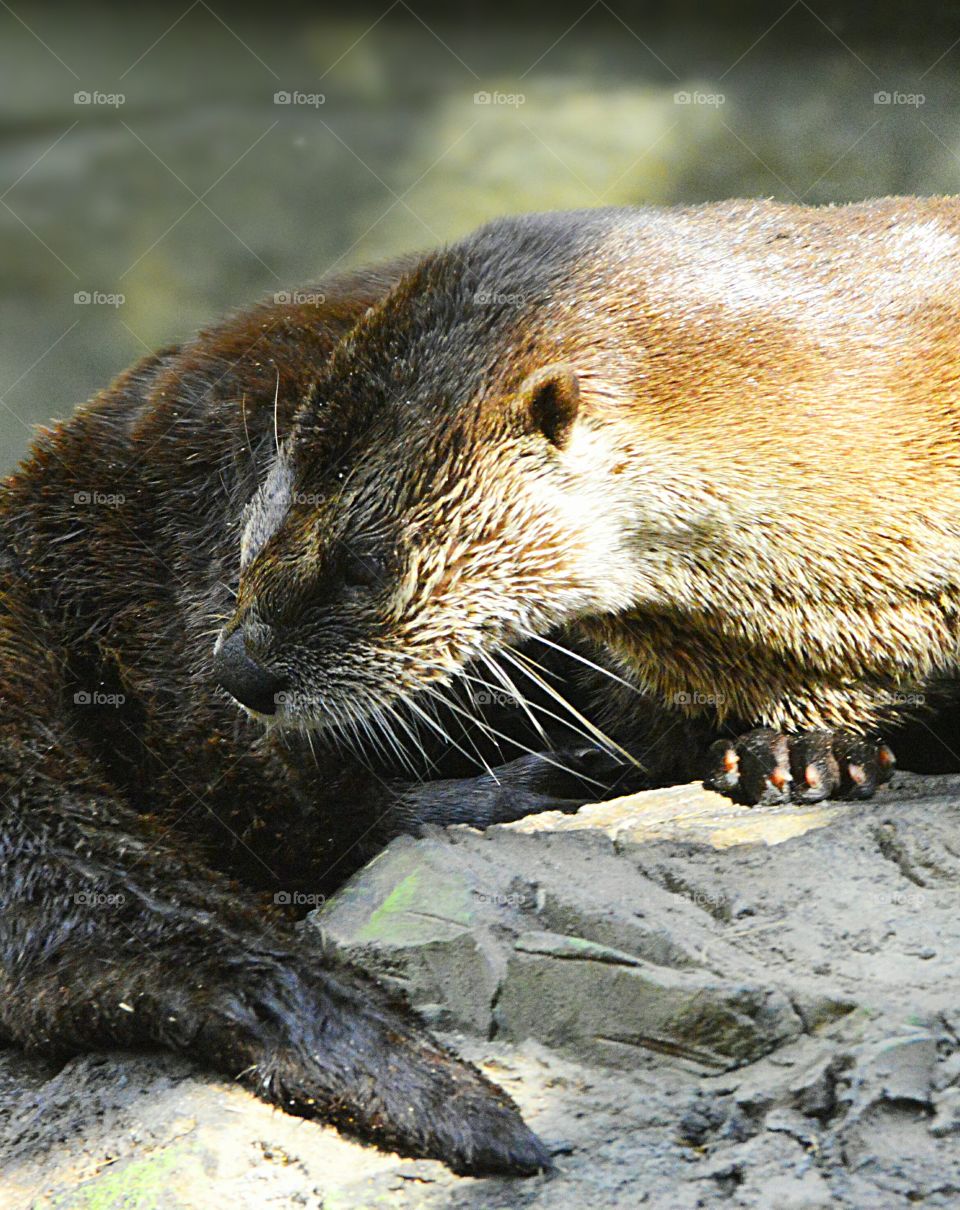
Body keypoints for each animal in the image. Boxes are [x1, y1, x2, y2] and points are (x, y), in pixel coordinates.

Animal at [2, 197, 957, 1175]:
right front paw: (798, 746)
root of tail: (44, 497)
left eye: (364, 563)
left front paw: (811, 746)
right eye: (258, 525)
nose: (240, 666)